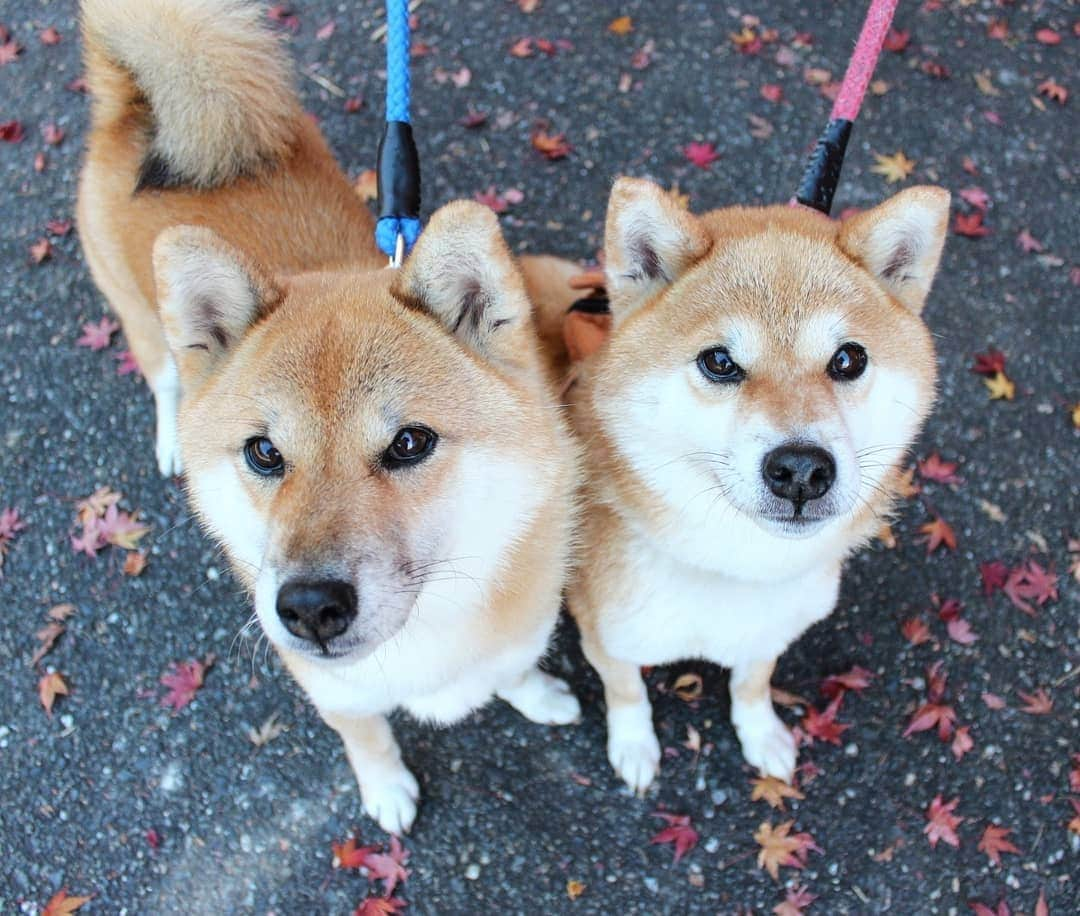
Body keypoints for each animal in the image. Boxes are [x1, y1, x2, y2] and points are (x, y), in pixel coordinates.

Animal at [78, 0, 583, 829]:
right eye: (263, 453)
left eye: (410, 443)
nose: (309, 608)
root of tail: (139, 114)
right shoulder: (336, 695)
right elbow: (367, 738)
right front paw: (387, 790)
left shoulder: (517, 632)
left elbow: (512, 672)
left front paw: (537, 696)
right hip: (140, 324)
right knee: (162, 378)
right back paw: (172, 436)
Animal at [552, 177, 950, 786]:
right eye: (719, 362)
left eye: (848, 359)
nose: (802, 470)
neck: (736, 568)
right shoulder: (607, 637)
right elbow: (628, 694)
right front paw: (635, 746)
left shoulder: (768, 632)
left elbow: (751, 685)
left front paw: (761, 735)